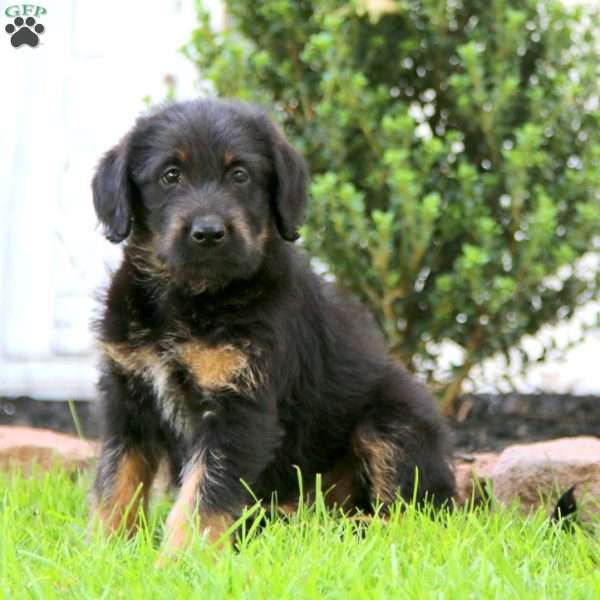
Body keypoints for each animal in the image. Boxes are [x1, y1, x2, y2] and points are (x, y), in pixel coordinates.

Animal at [90, 98, 454, 552]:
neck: (191, 298)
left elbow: (203, 496)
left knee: (411, 514)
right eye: (170, 175)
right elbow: (116, 481)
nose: (208, 233)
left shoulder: (239, 408)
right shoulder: (127, 397)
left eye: (240, 175)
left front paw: (181, 558)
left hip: (394, 422)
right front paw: (103, 550)